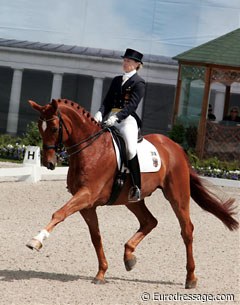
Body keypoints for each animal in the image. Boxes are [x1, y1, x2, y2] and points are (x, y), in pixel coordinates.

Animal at [26, 98, 238, 288]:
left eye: (54, 128)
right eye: (40, 127)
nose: (48, 163)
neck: (91, 149)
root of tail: (176, 147)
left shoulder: (87, 195)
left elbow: (59, 213)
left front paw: (36, 241)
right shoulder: (87, 204)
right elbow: (96, 237)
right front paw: (101, 272)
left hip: (177, 195)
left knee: (186, 230)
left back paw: (191, 278)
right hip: (132, 200)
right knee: (150, 221)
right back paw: (129, 257)